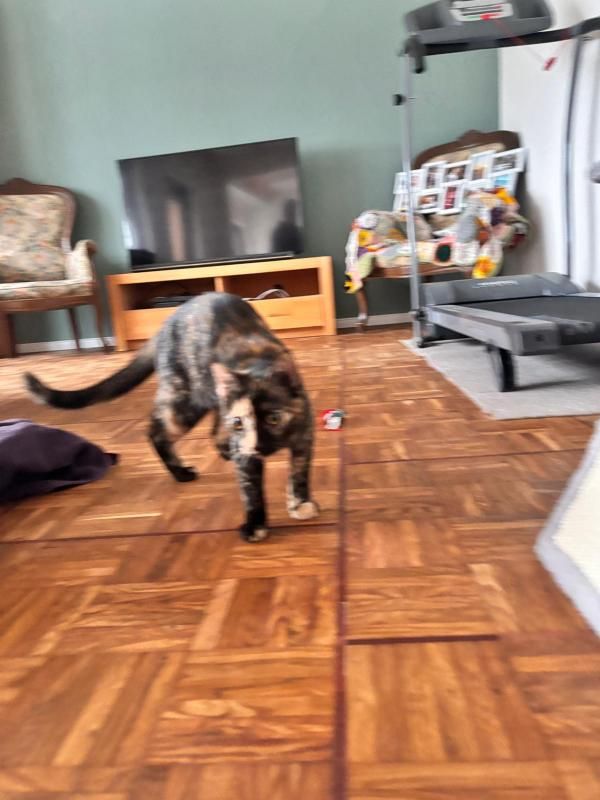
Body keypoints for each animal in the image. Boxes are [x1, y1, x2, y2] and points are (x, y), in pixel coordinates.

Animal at [24, 292, 319, 542]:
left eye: (273, 419)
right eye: (240, 423)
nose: (254, 446)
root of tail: (167, 321)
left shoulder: (304, 436)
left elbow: (299, 473)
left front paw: (300, 502)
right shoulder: (245, 452)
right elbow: (251, 489)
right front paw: (255, 525)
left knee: (212, 429)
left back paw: (221, 451)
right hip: (183, 404)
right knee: (156, 431)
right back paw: (181, 472)